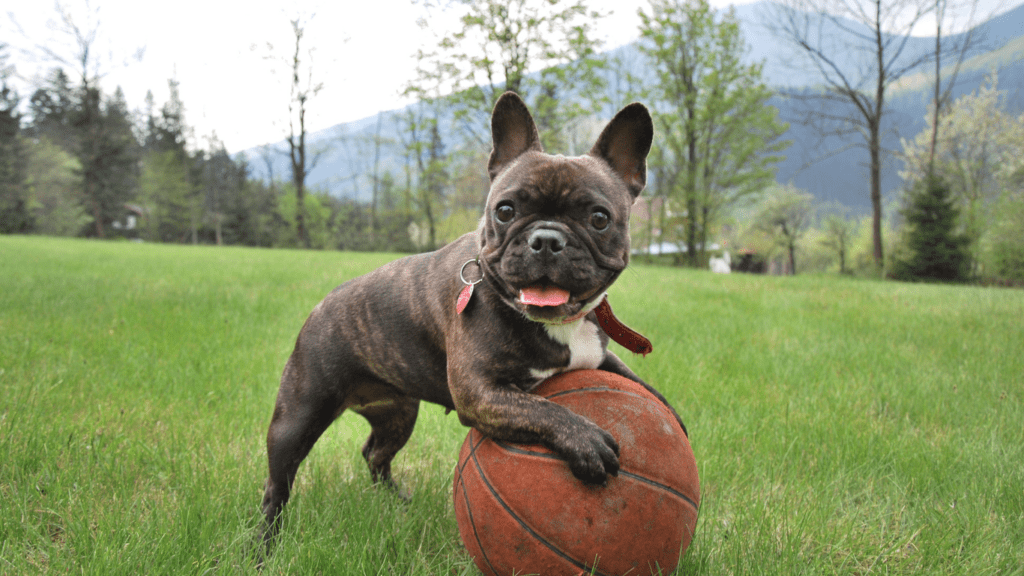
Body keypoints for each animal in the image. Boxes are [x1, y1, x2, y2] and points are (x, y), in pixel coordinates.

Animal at [260, 91, 684, 545]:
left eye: (599, 218)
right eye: (505, 210)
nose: (546, 239)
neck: (557, 323)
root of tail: (321, 306)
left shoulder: (598, 356)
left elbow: (637, 382)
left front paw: (671, 416)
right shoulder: (480, 392)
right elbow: (541, 409)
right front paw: (585, 440)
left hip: (398, 414)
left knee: (375, 453)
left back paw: (396, 502)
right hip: (298, 416)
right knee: (278, 485)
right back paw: (265, 545)